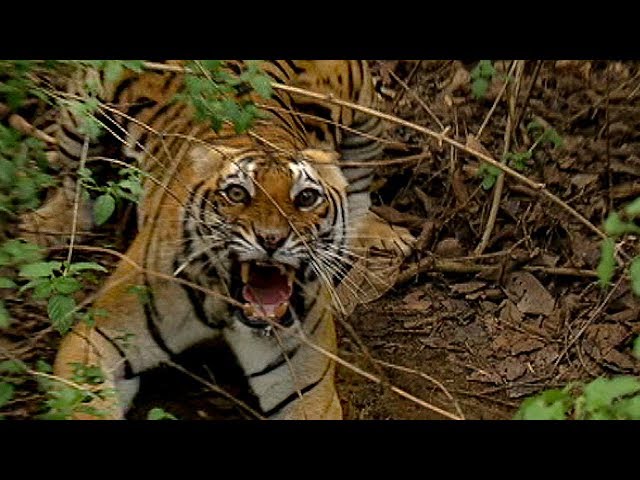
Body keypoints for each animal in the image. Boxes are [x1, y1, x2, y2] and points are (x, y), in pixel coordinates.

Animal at [35, 60, 414, 419]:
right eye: (236, 194)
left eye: (306, 198)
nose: (272, 240)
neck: (226, 308)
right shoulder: (96, 337)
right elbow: (85, 405)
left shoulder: (306, 386)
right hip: (83, 103)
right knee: (74, 176)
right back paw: (47, 225)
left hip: (364, 112)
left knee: (359, 188)